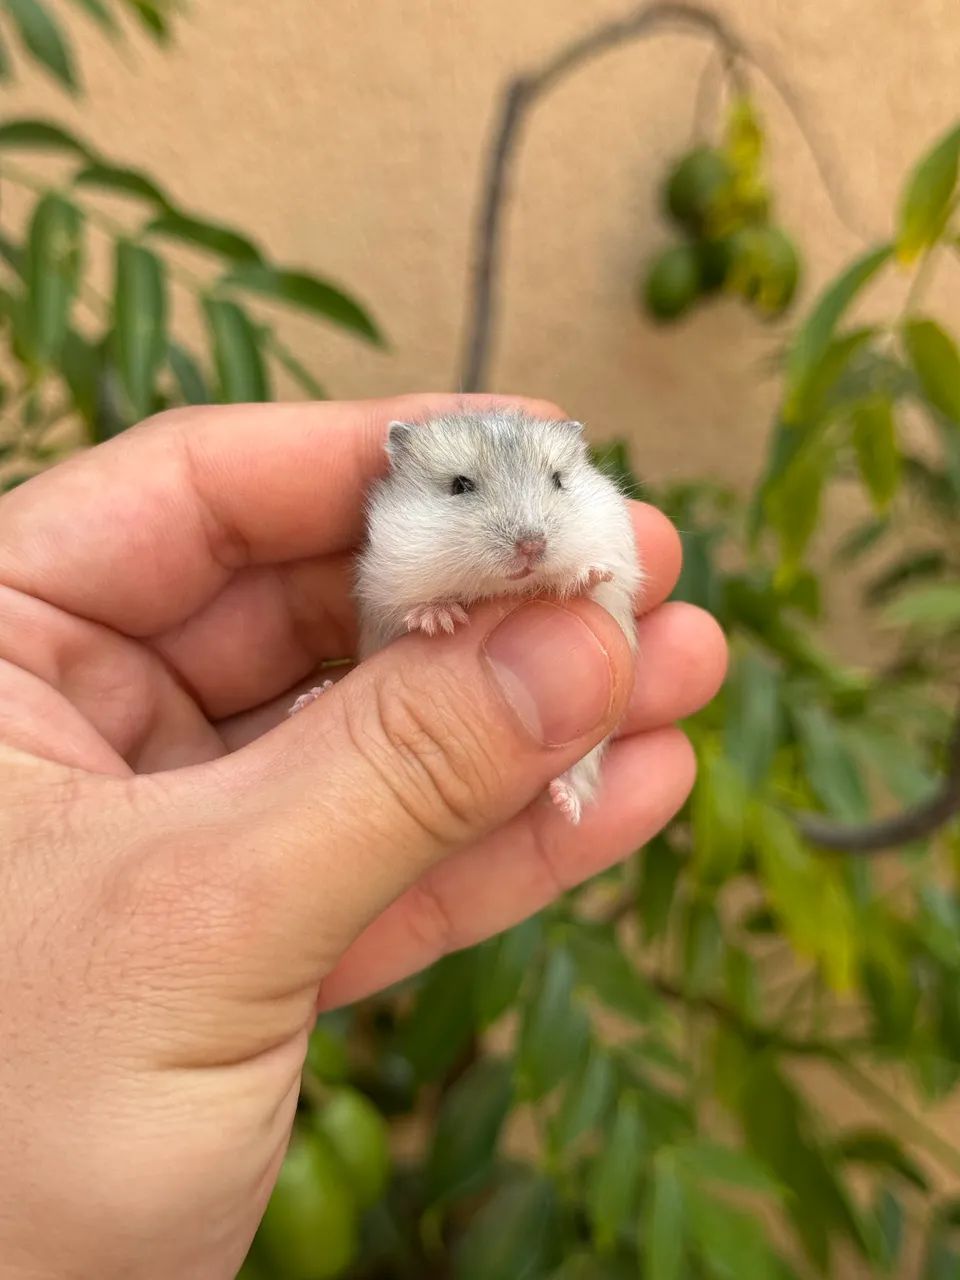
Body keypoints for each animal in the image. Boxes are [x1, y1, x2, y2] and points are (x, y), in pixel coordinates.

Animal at [293, 407, 642, 824]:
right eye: (460, 485)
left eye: (559, 480)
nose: (532, 546)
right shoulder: (386, 591)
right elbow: (412, 607)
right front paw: (442, 619)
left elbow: (597, 583)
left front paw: (587, 574)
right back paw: (309, 699)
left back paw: (563, 802)